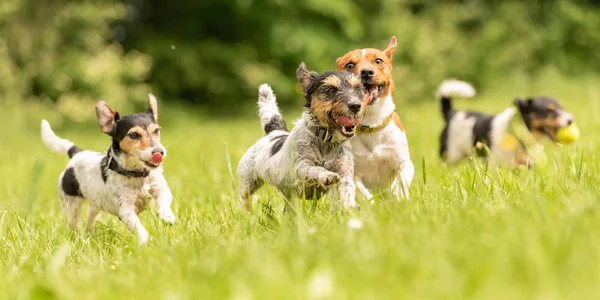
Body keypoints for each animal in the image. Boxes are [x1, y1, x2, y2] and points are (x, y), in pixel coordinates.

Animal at [40, 94, 173, 244]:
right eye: (133, 135)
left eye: (156, 131)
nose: (159, 152)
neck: (137, 173)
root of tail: (77, 153)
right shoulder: (126, 211)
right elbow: (138, 228)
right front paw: (145, 241)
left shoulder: (161, 189)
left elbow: (164, 199)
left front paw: (167, 215)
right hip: (71, 207)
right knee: (75, 226)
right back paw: (80, 241)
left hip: (95, 205)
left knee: (89, 221)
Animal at [336, 37, 414, 202]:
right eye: (349, 65)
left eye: (378, 61)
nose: (366, 72)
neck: (371, 123)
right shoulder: (352, 171)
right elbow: (362, 191)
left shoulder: (404, 161)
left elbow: (402, 178)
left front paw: (397, 195)